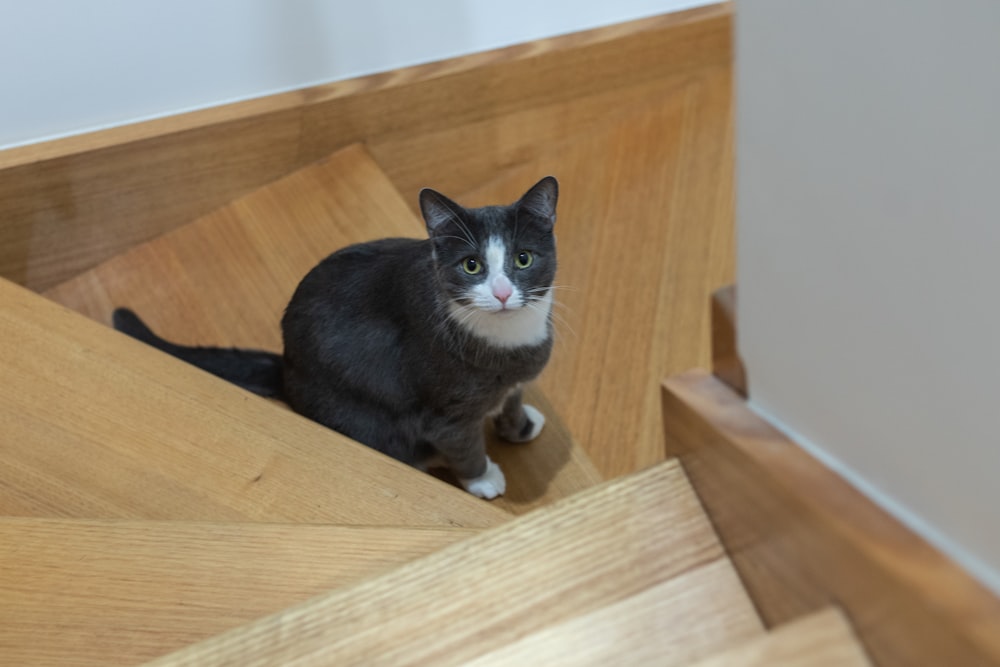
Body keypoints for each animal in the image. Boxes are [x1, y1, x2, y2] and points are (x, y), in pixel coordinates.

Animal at [115, 175, 564, 498]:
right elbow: (462, 444)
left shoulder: (517, 376)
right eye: (471, 266)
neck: (511, 340)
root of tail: (286, 369)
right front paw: (483, 478)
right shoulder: (444, 411)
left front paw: (520, 426)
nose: (502, 293)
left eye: (523, 258)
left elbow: (513, 397)